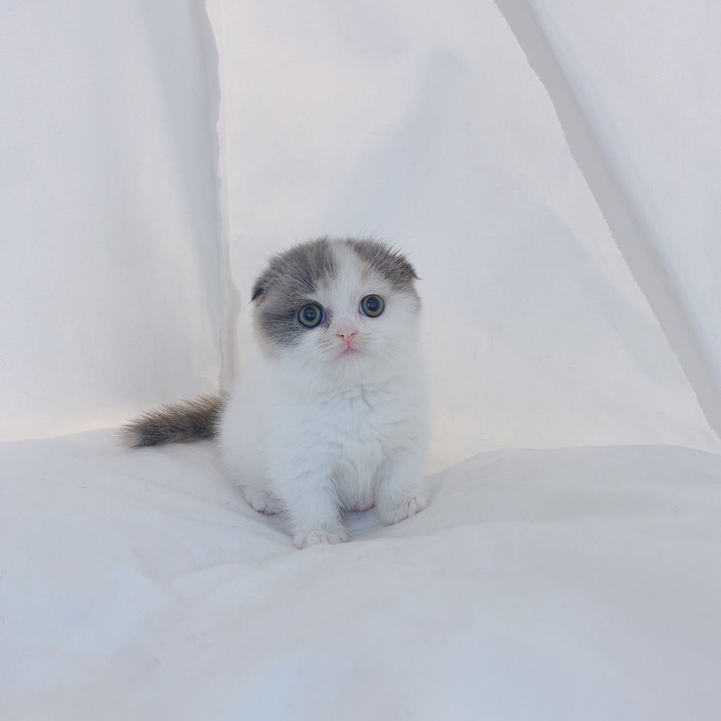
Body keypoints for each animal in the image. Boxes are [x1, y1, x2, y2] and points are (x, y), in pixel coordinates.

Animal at [122, 237, 430, 548]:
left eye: (372, 305)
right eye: (310, 315)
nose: (347, 333)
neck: (351, 395)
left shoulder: (406, 438)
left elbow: (400, 472)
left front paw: (402, 503)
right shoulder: (299, 457)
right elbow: (311, 498)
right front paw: (321, 533)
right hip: (237, 443)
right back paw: (264, 496)